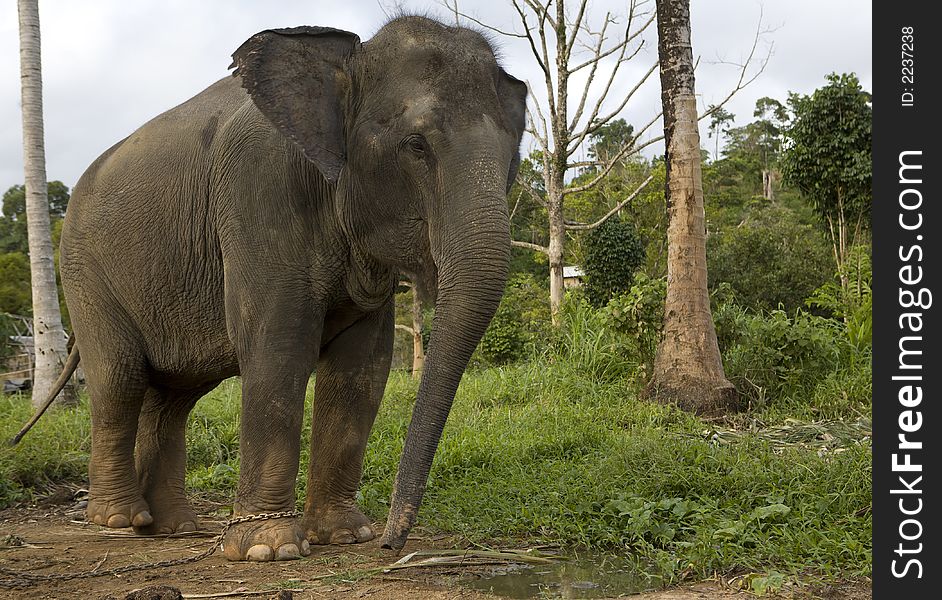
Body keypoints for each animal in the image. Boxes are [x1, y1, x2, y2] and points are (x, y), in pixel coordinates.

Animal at [51, 17, 528, 564]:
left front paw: (344, 536)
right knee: (120, 380)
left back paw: (174, 527)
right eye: (416, 145)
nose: (393, 543)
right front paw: (268, 549)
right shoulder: (257, 190)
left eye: (511, 159)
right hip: (84, 273)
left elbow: (362, 366)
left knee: (174, 396)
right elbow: (280, 345)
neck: (347, 59)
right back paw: (118, 520)